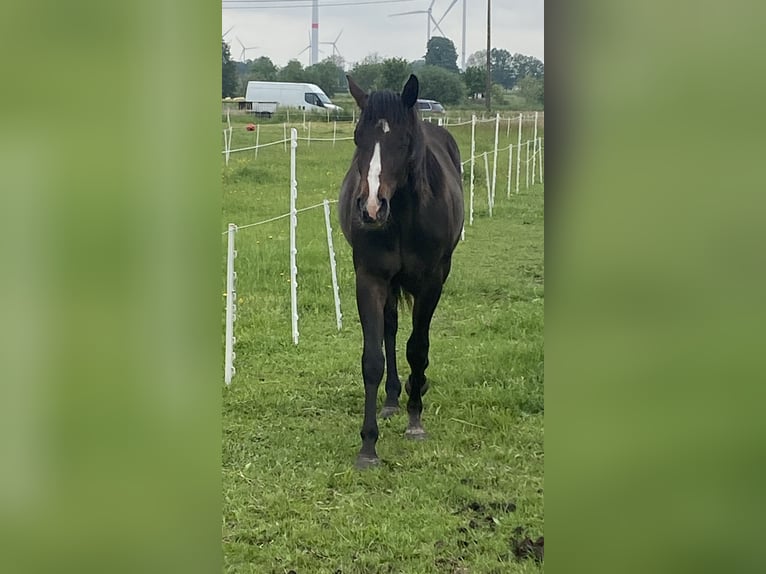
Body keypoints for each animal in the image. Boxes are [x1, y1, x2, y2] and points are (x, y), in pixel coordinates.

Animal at [342, 74, 468, 470]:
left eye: (403, 141)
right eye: (358, 137)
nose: (370, 208)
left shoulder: (431, 283)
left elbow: (418, 348)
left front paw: (415, 420)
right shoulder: (370, 280)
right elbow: (373, 359)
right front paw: (368, 446)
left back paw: (413, 392)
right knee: (391, 329)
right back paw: (392, 399)